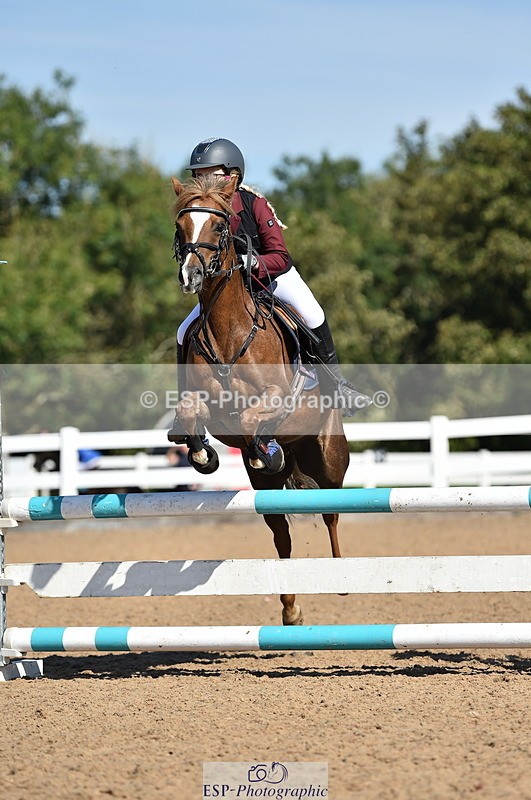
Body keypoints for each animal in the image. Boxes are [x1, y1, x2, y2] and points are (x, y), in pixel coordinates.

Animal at [168, 173, 349, 625]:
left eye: (219, 226)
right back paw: (290, 609)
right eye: (180, 227)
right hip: (266, 491)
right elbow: (192, 413)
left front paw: (264, 449)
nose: (191, 275)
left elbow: (253, 419)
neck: (228, 330)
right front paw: (202, 455)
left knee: (332, 512)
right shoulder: (207, 404)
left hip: (328, 459)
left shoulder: (277, 397)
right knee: (281, 534)